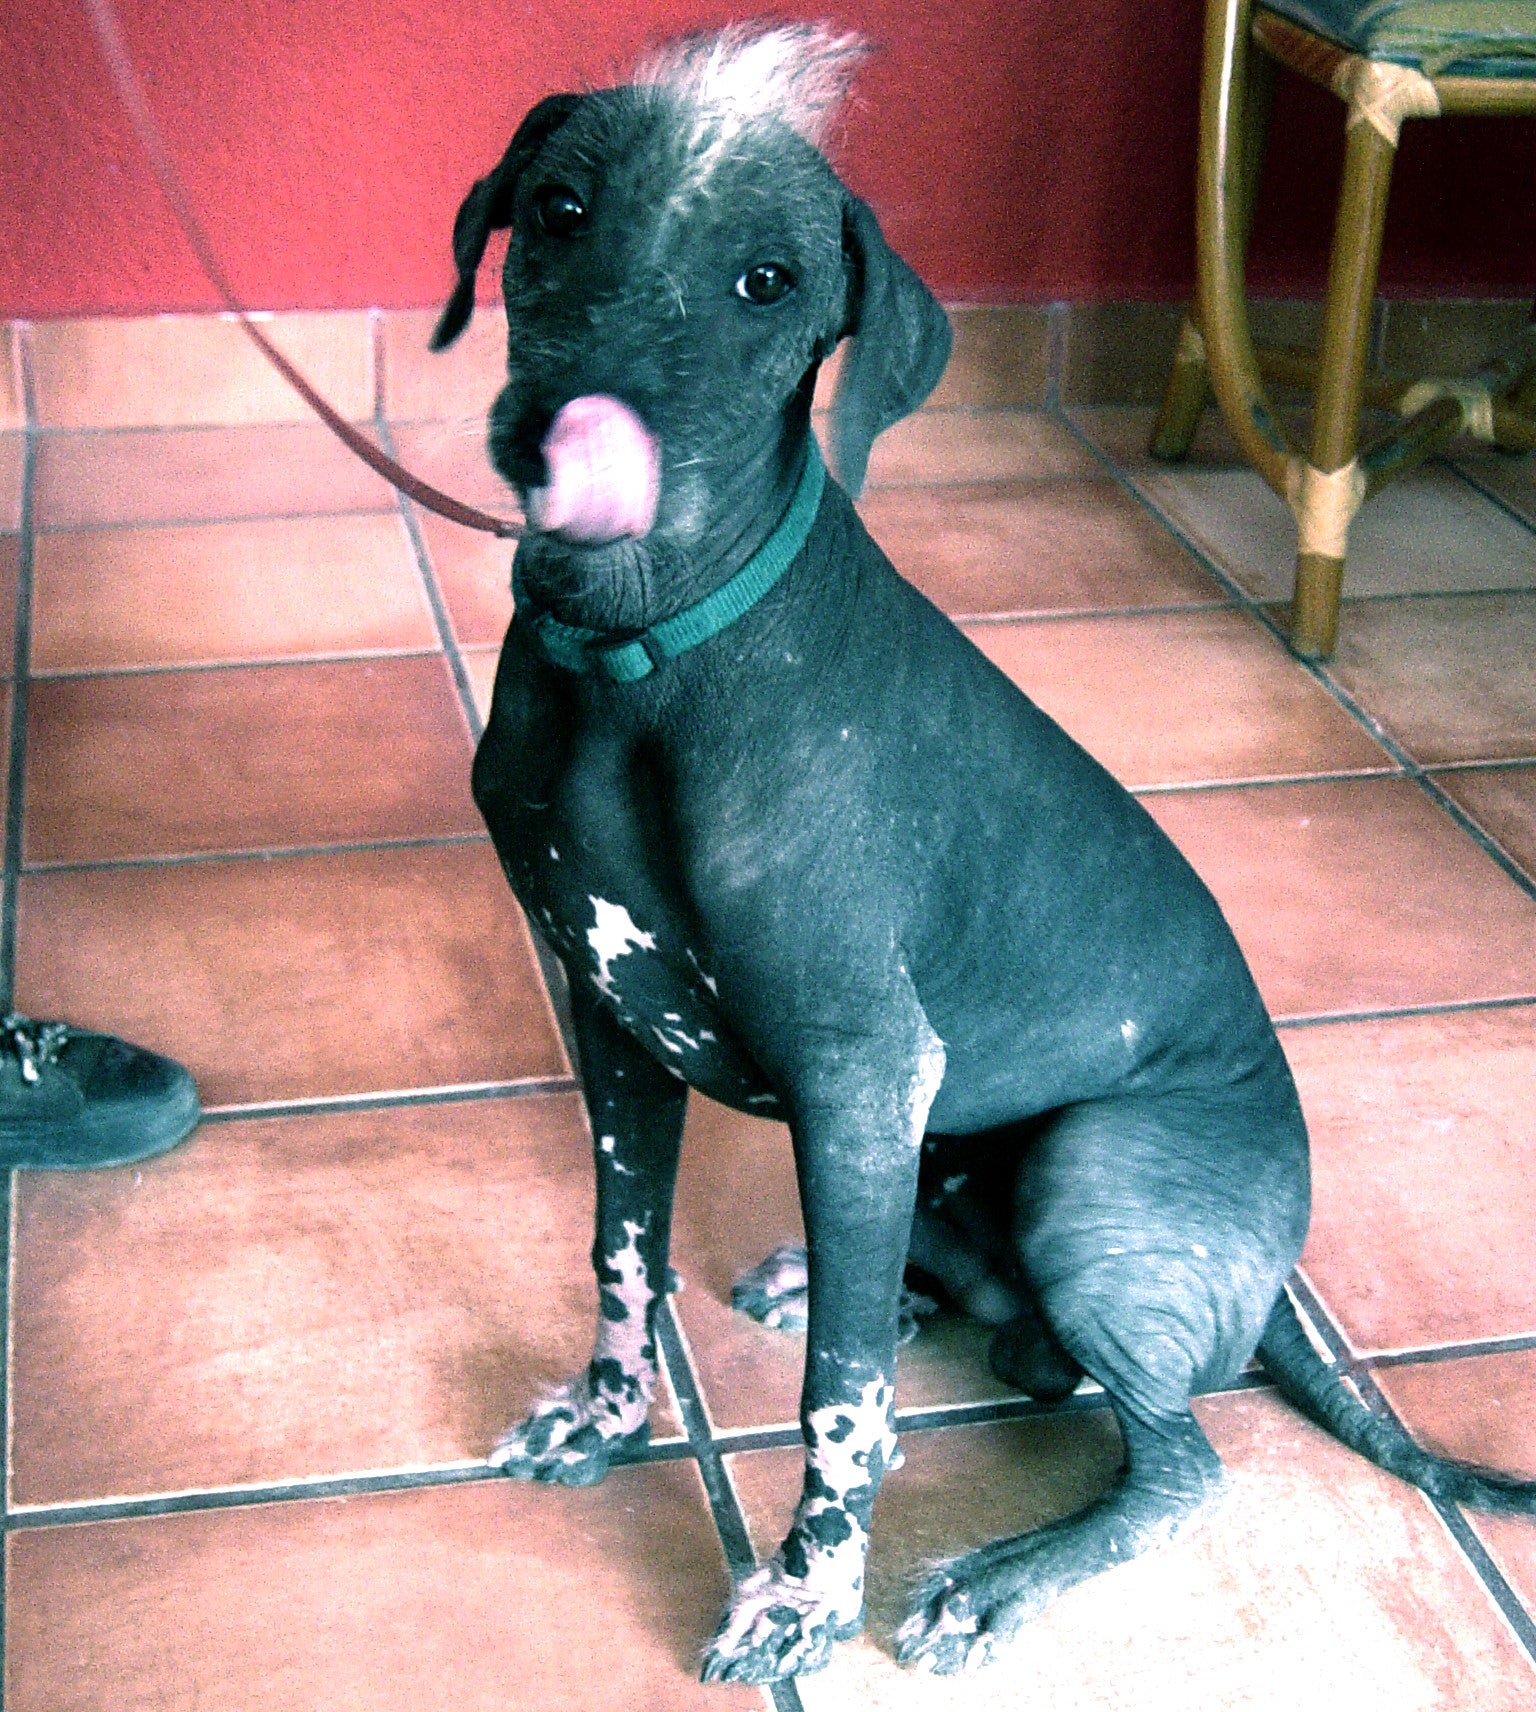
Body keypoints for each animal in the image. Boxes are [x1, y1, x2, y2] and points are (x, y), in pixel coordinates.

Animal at [431, 23, 1534, 1684]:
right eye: (558, 211)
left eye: (766, 281)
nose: (568, 441)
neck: (640, 653)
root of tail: (1278, 1280)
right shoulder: (613, 1029)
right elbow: (624, 1253)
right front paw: (613, 1419)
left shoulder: (859, 1074)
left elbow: (839, 1402)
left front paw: (808, 1601)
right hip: (949, 1163)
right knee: (1004, 1339)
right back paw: (866, 1284)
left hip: (1088, 1181)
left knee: (1170, 1452)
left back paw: (993, 1574)